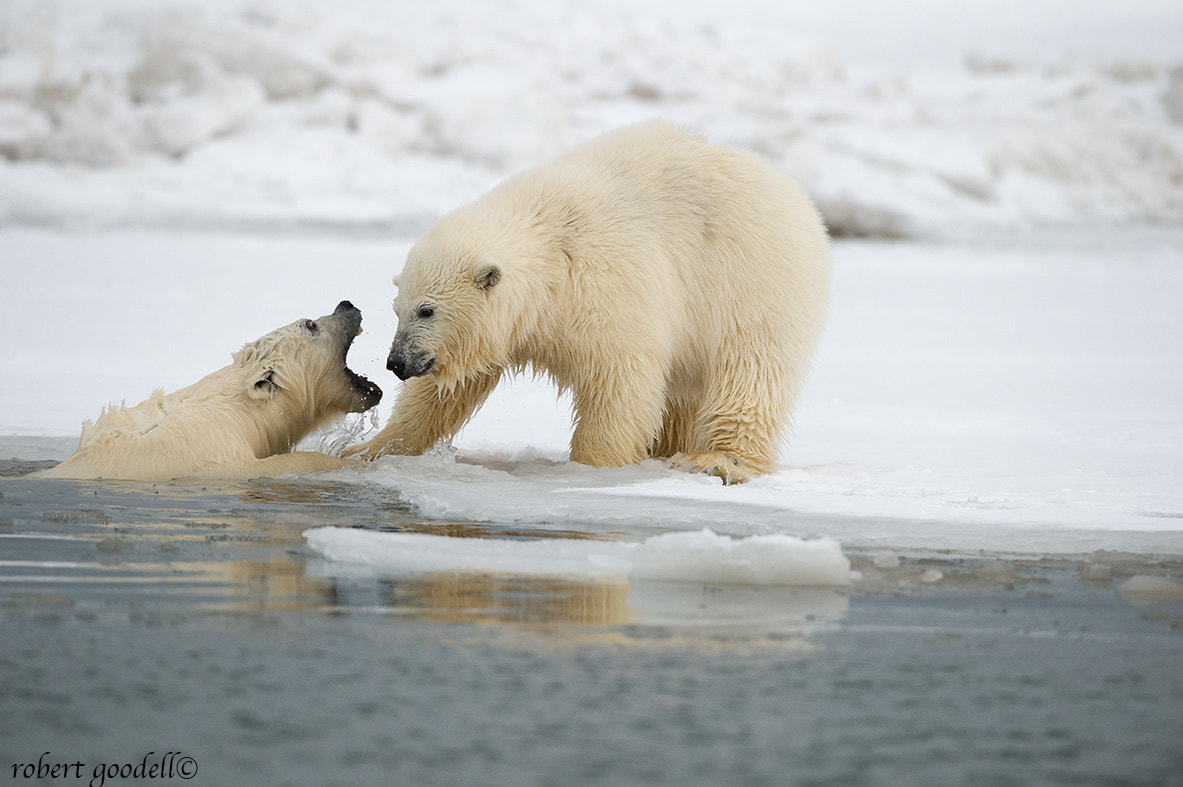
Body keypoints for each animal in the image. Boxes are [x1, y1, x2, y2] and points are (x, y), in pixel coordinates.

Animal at [39, 300, 380, 482]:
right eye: (310, 324)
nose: (346, 304)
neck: (239, 409)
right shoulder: (215, 455)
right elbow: (288, 463)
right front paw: (353, 462)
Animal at [350, 120, 832, 482]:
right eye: (396, 309)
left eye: (427, 310)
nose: (397, 362)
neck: (552, 246)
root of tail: (798, 199)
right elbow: (446, 392)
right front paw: (367, 449)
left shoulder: (607, 283)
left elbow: (619, 378)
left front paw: (593, 466)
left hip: (754, 280)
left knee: (750, 369)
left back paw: (717, 461)